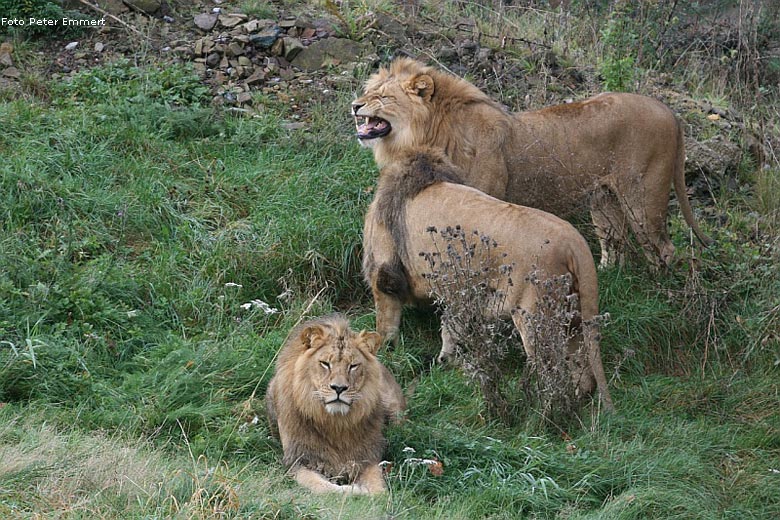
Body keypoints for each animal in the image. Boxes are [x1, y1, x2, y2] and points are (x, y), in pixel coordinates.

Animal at [266, 314, 406, 494]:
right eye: (325, 363)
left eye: (353, 366)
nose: (339, 388)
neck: (336, 424)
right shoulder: (298, 461)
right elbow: (325, 488)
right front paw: (354, 491)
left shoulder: (368, 458)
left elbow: (379, 489)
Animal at [354, 57, 712, 268]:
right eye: (369, 91)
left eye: (382, 97)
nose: (355, 105)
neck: (431, 133)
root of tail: (669, 111)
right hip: (604, 201)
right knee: (616, 246)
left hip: (643, 199)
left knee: (663, 249)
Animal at [362, 146, 612, 410]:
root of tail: (574, 242)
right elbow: (450, 325)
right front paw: (447, 357)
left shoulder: (385, 271)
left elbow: (386, 319)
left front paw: (385, 350)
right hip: (572, 314)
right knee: (581, 366)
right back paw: (576, 397)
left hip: (534, 318)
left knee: (550, 367)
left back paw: (548, 406)